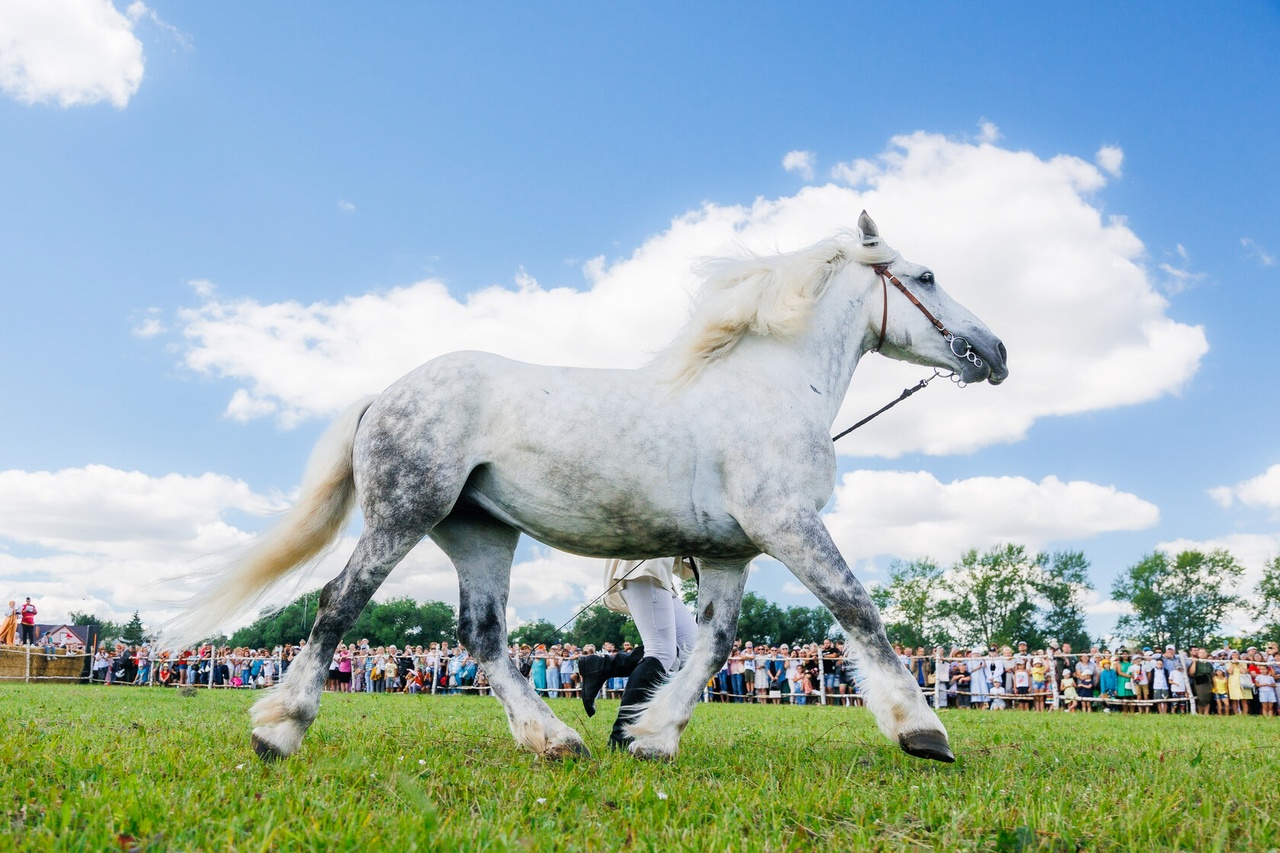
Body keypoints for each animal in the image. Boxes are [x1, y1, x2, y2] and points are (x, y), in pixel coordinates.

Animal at [167, 212, 1008, 763]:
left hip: (481, 531)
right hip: (404, 513)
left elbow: (714, 646)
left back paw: (555, 739)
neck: (770, 386)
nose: (996, 351)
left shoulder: (732, 554)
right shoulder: (788, 525)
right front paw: (923, 731)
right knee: (340, 602)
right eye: (927, 275)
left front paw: (653, 736)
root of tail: (385, 393)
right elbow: (858, 609)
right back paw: (278, 728)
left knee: (484, 636)